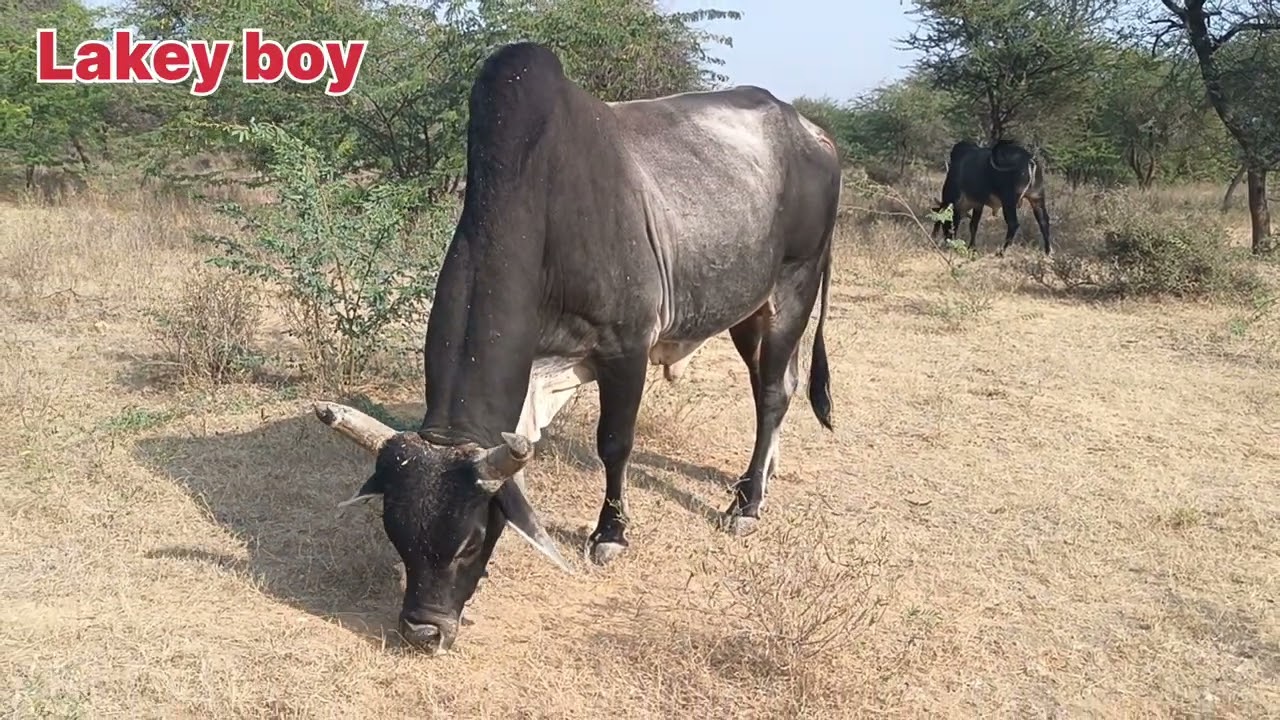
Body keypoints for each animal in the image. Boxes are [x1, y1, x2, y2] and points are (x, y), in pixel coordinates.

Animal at [311, 41, 842, 655]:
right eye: (395, 534)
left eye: (469, 541)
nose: (422, 630)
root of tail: (812, 131)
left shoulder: (626, 349)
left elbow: (614, 444)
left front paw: (610, 534)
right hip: (748, 309)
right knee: (772, 388)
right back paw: (761, 478)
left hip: (792, 289)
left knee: (774, 393)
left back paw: (747, 503)